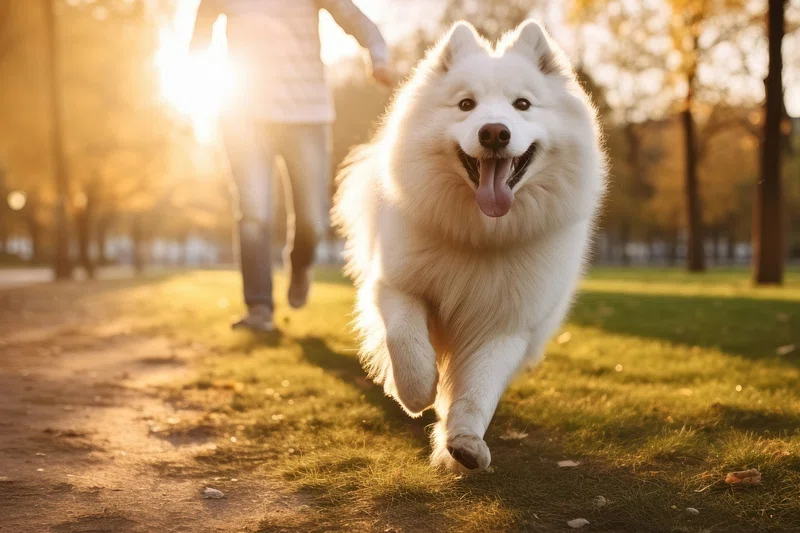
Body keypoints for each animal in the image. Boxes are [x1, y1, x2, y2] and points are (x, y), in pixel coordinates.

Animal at [332, 18, 608, 472]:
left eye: (522, 105)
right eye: (465, 105)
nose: (494, 132)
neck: (479, 236)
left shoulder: (506, 324)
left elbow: (478, 389)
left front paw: (462, 442)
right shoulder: (396, 285)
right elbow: (405, 341)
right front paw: (416, 392)